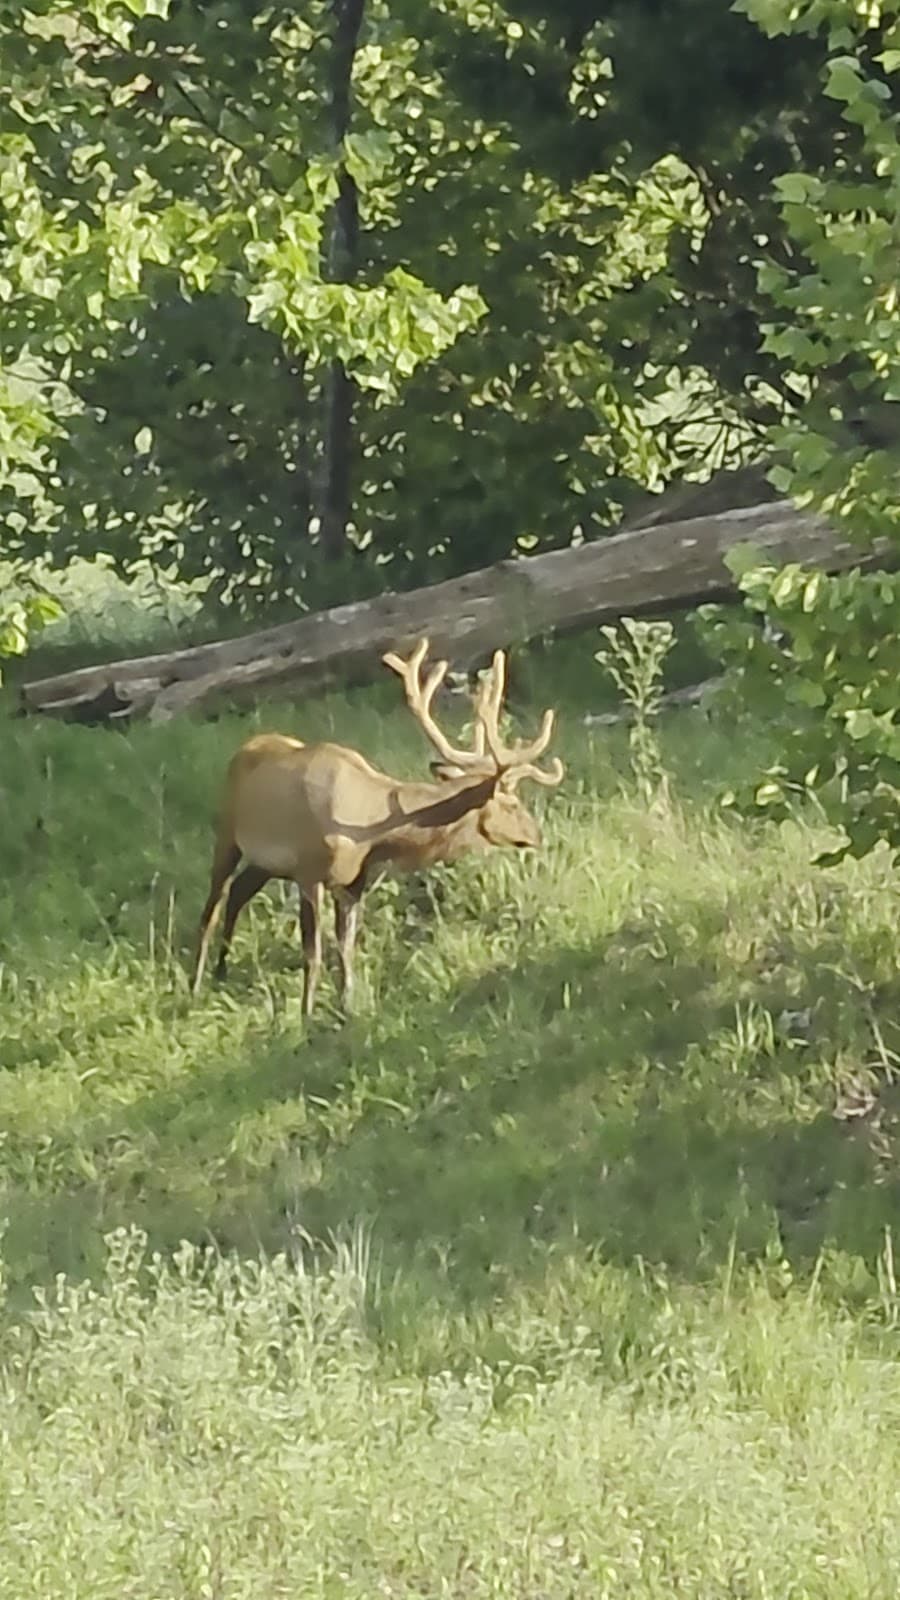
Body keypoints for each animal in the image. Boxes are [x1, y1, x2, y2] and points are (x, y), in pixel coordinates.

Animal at [190, 637, 564, 1017]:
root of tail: (245, 747)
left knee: (238, 892)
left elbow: (346, 947)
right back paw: (195, 986)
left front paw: (347, 1008)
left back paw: (221, 974)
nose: (537, 835)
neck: (368, 827)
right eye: (511, 803)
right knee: (212, 907)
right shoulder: (309, 873)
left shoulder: (355, 879)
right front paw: (306, 1016)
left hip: (266, 863)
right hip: (228, 835)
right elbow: (313, 954)